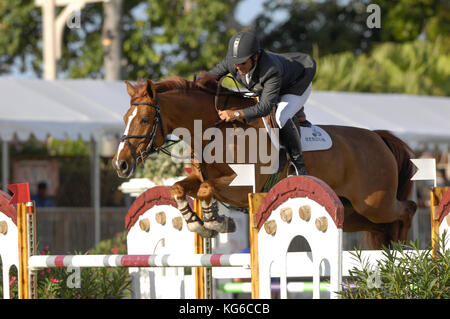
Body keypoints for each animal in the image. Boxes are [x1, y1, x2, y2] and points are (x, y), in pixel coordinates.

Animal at [113, 75, 418, 250]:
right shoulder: (200, 178)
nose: (120, 165)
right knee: (384, 226)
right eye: (125, 118)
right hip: (354, 212)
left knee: (408, 209)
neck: (217, 130)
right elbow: (180, 188)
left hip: (374, 202)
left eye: (144, 119)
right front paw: (199, 222)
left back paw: (404, 251)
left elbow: (208, 189)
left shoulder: (243, 188)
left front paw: (213, 221)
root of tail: (378, 139)